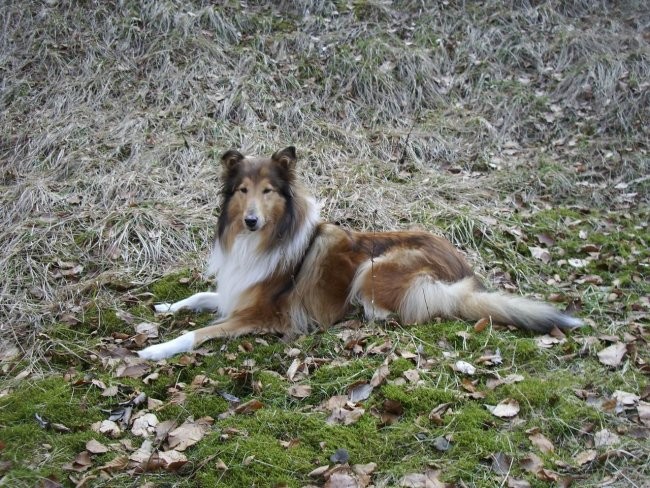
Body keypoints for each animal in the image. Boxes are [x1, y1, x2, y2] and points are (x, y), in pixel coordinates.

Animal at [138, 147, 584, 360]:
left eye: (268, 191)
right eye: (243, 190)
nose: (250, 221)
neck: (262, 241)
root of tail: (465, 274)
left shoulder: (261, 314)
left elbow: (198, 333)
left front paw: (155, 349)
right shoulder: (237, 291)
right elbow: (200, 296)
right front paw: (165, 307)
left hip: (374, 267)